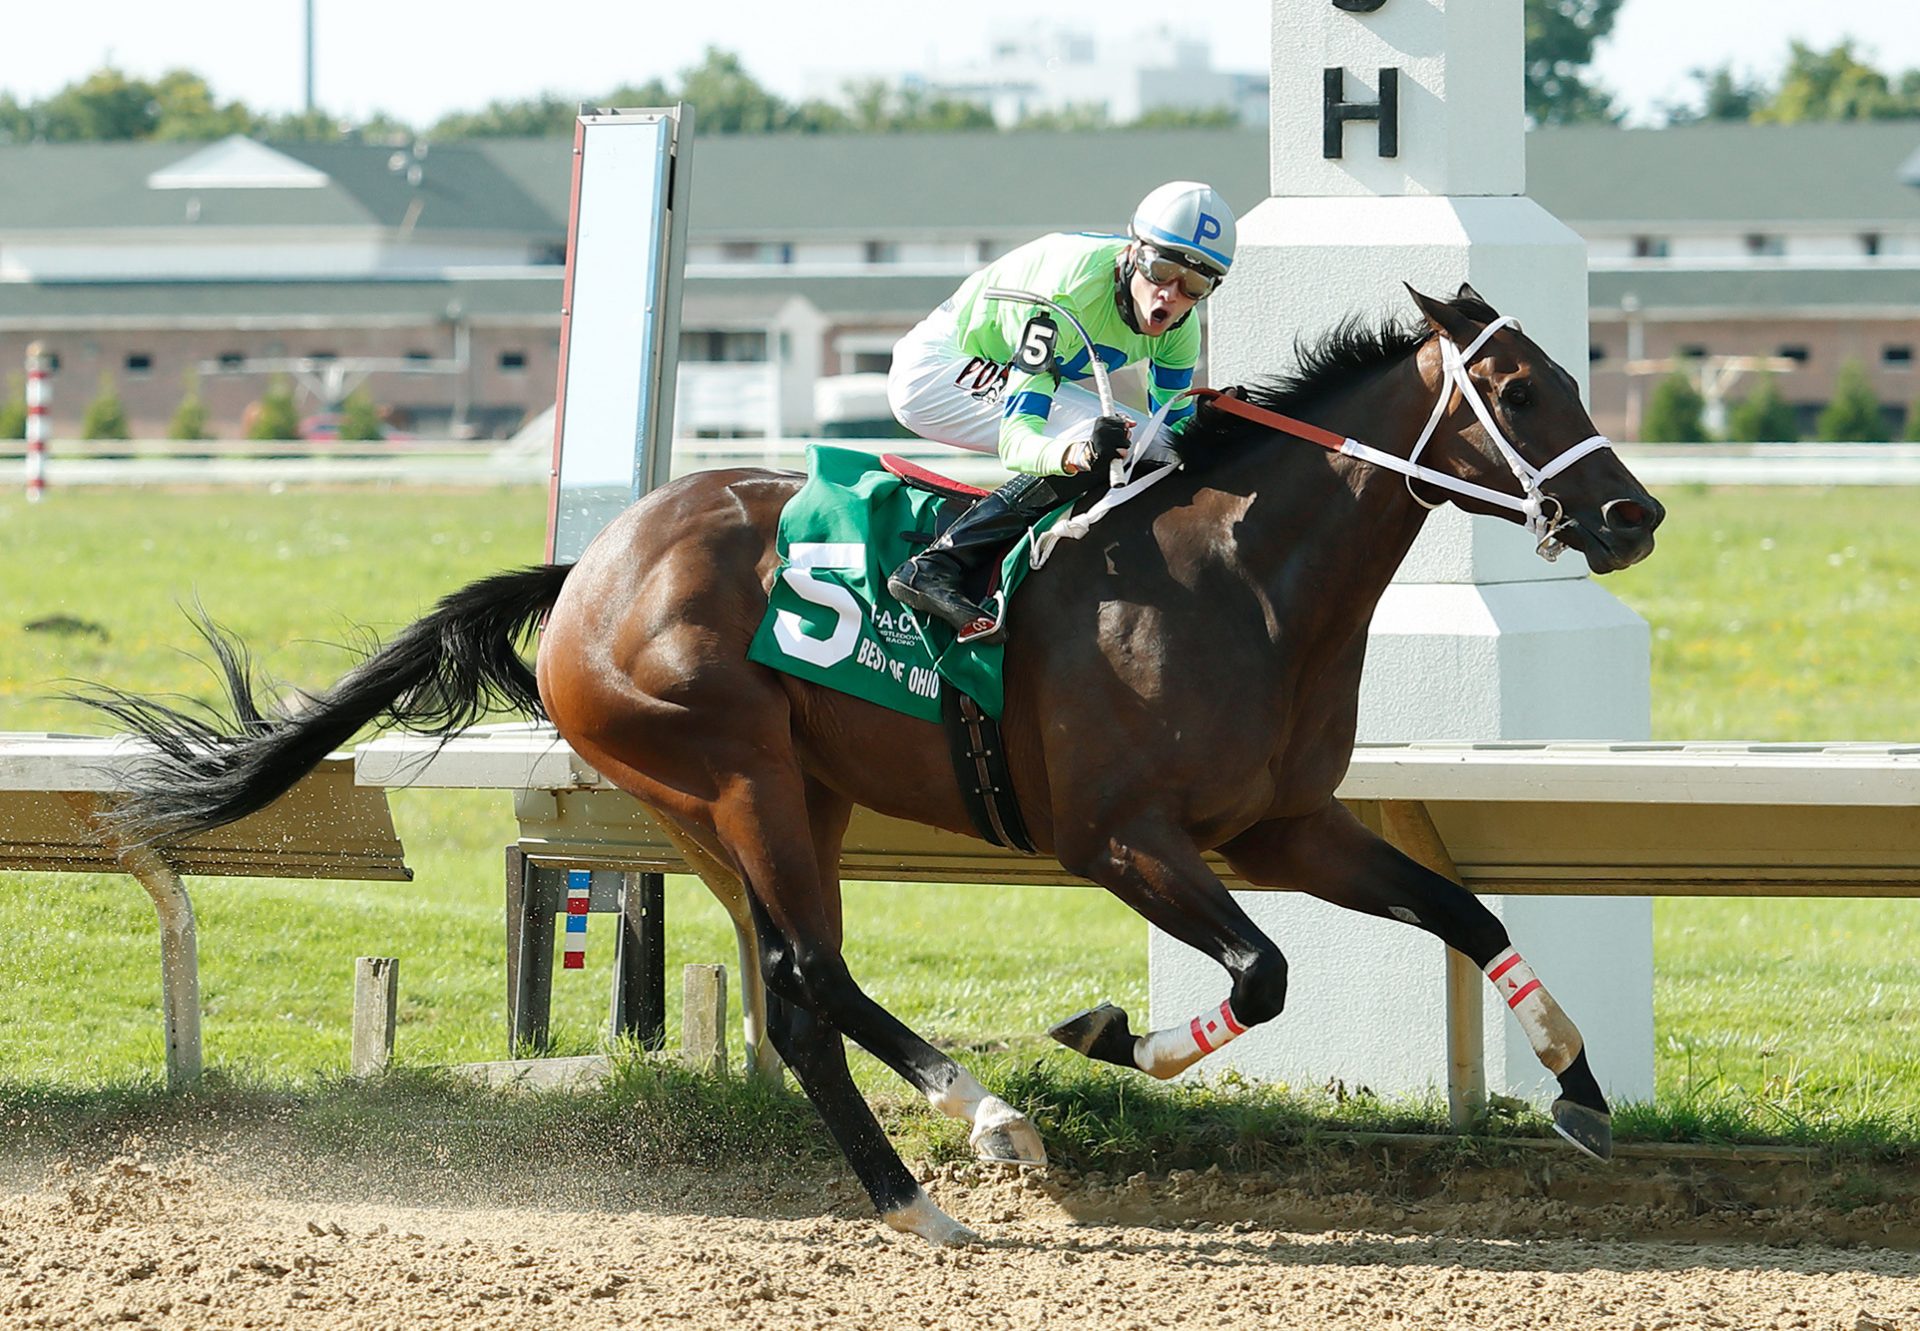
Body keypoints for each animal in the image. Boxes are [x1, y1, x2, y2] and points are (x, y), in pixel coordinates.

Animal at [78, 282, 1666, 1244]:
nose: (1632, 513)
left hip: (760, 795)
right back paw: (974, 1139)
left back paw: (940, 1169)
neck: (1239, 579)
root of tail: (590, 568)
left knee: (798, 991)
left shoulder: (1281, 822)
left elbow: (1463, 907)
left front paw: (1578, 1087)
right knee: (805, 974)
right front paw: (1113, 1035)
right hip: (732, 772)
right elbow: (1264, 973)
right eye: (1518, 385)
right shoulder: (1120, 836)